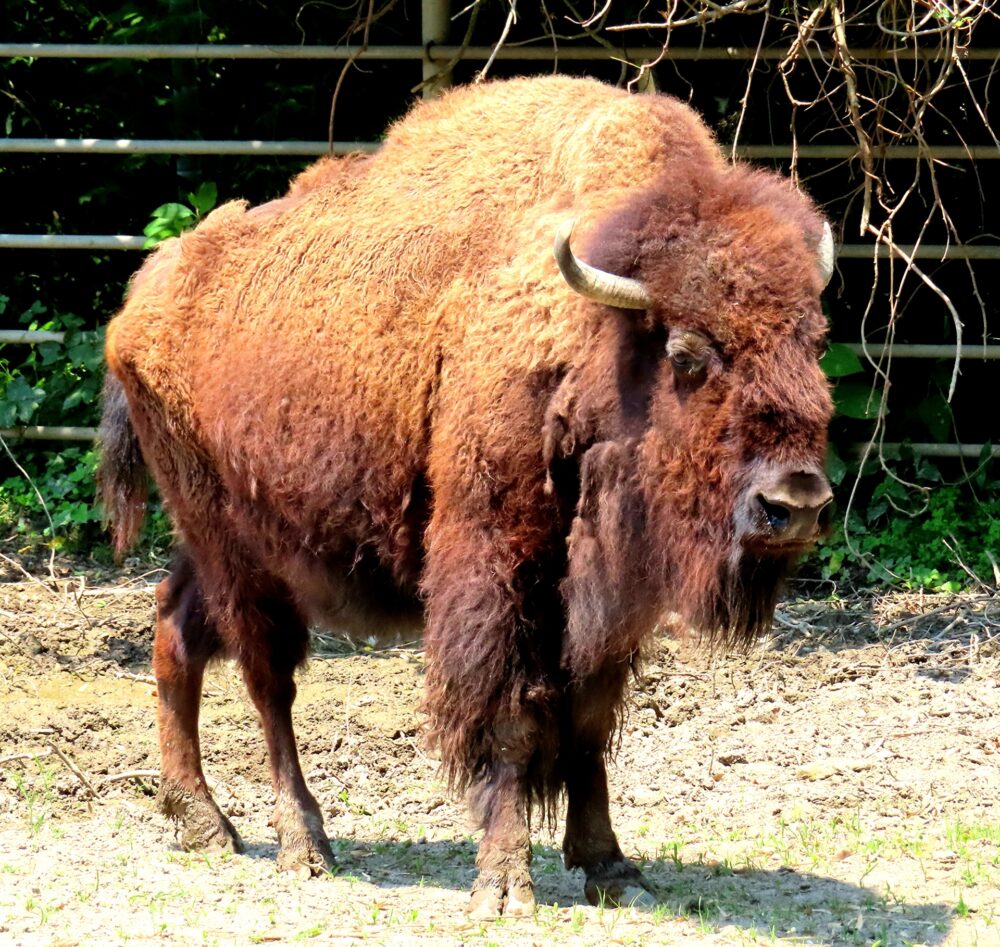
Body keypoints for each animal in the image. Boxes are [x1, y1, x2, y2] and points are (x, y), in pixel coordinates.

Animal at [101, 74, 836, 920]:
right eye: (687, 354)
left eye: (812, 341)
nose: (794, 502)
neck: (594, 337)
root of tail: (141, 297)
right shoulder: (498, 565)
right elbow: (511, 716)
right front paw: (505, 882)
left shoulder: (605, 600)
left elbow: (590, 719)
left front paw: (611, 865)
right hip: (235, 547)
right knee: (267, 681)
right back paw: (303, 844)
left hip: (224, 542)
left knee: (176, 628)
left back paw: (201, 819)